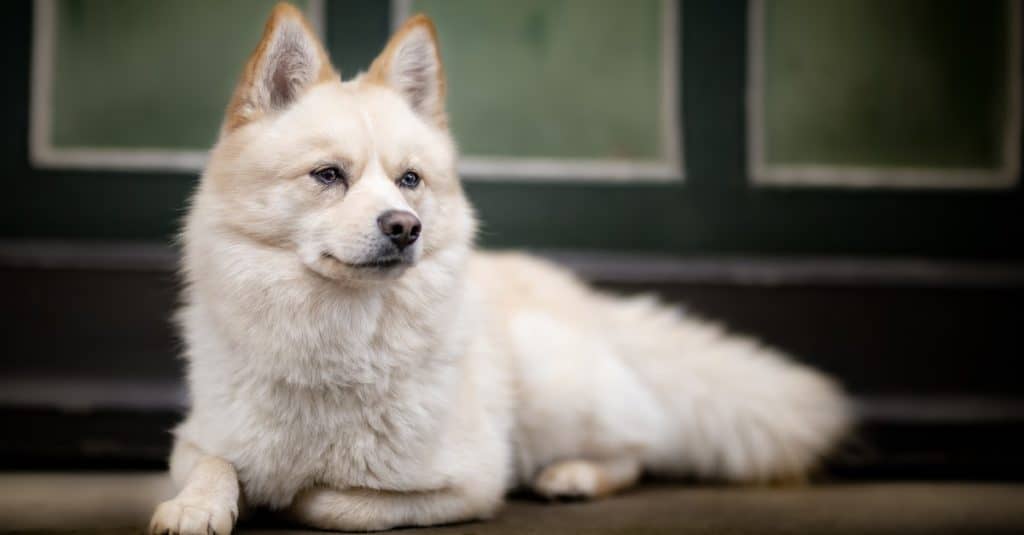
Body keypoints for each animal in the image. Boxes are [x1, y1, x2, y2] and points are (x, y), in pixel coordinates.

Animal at [149, 3, 847, 528]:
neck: (333, 345)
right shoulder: (198, 437)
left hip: (549, 383)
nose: (405, 227)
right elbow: (213, 464)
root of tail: (583, 300)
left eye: (409, 180)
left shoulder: (470, 482)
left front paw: (291, 496)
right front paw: (194, 506)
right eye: (328, 175)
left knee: (637, 448)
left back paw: (574, 474)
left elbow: (332, 501)